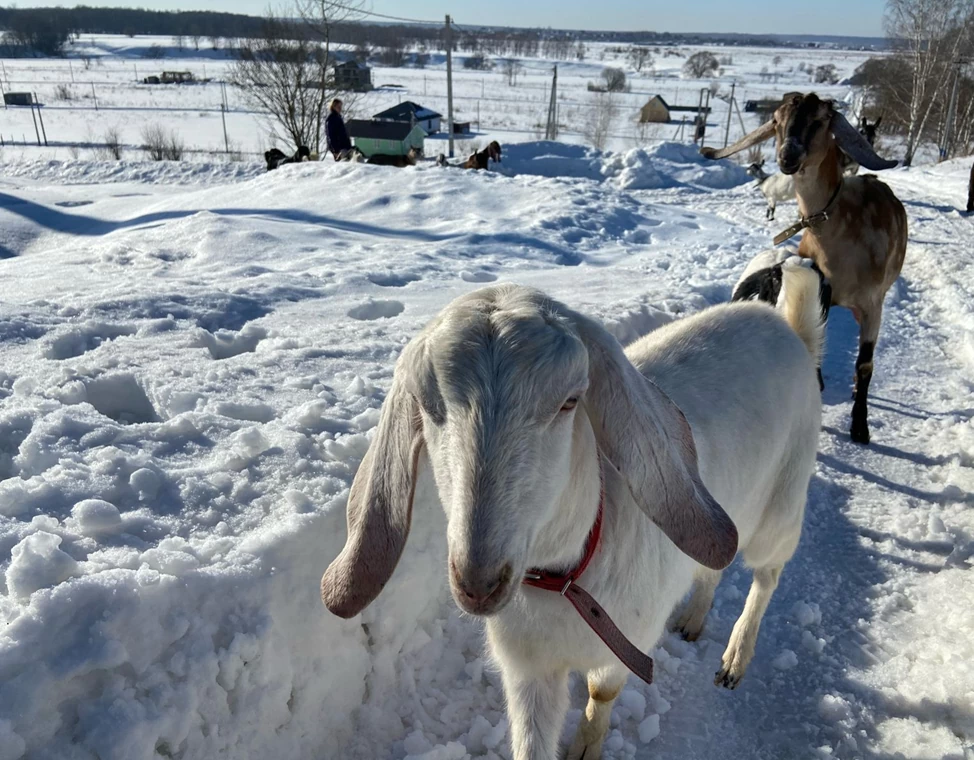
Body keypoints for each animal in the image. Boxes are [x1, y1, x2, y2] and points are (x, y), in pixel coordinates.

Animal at [326, 280, 824, 760]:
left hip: (780, 505)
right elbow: (531, 741)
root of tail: (787, 327)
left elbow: (602, 691)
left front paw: (586, 746)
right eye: (428, 407)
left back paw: (735, 657)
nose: (478, 583)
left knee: (766, 576)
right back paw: (693, 619)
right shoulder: (528, 669)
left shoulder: (630, 640)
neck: (564, 582)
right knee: (712, 571)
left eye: (569, 401)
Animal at [700, 92, 908, 446]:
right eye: (776, 121)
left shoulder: (872, 303)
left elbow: (864, 365)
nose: (788, 157)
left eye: (821, 120)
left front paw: (860, 427)